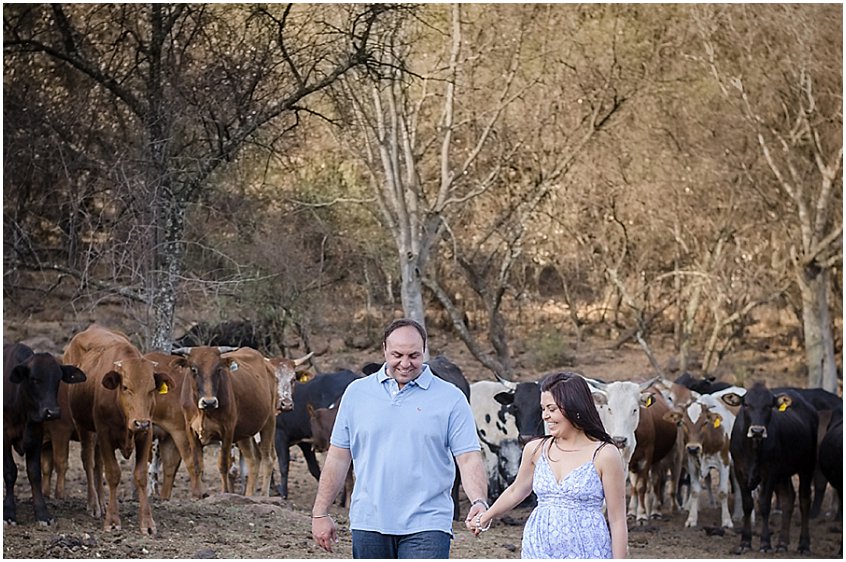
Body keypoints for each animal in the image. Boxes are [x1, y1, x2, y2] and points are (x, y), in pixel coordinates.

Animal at [3, 342, 85, 524]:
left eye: (58, 379)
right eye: (34, 379)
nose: (52, 412)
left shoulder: (35, 437)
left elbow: (35, 473)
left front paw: (42, 513)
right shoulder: (4, 438)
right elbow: (10, 471)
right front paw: (9, 512)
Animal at [63, 322, 174, 532]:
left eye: (151, 389)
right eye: (126, 387)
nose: (140, 422)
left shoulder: (145, 435)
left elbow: (141, 475)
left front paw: (147, 523)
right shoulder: (105, 434)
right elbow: (113, 473)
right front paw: (112, 521)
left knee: (98, 463)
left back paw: (102, 501)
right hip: (83, 426)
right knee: (88, 461)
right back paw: (93, 505)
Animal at [724, 380, 820, 552]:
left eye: (769, 406)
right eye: (746, 404)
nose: (757, 430)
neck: (754, 449)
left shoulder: (769, 473)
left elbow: (764, 504)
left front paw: (765, 542)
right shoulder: (740, 471)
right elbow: (747, 504)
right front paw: (745, 542)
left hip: (807, 466)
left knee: (804, 500)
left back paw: (803, 544)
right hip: (784, 473)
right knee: (789, 498)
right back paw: (782, 543)